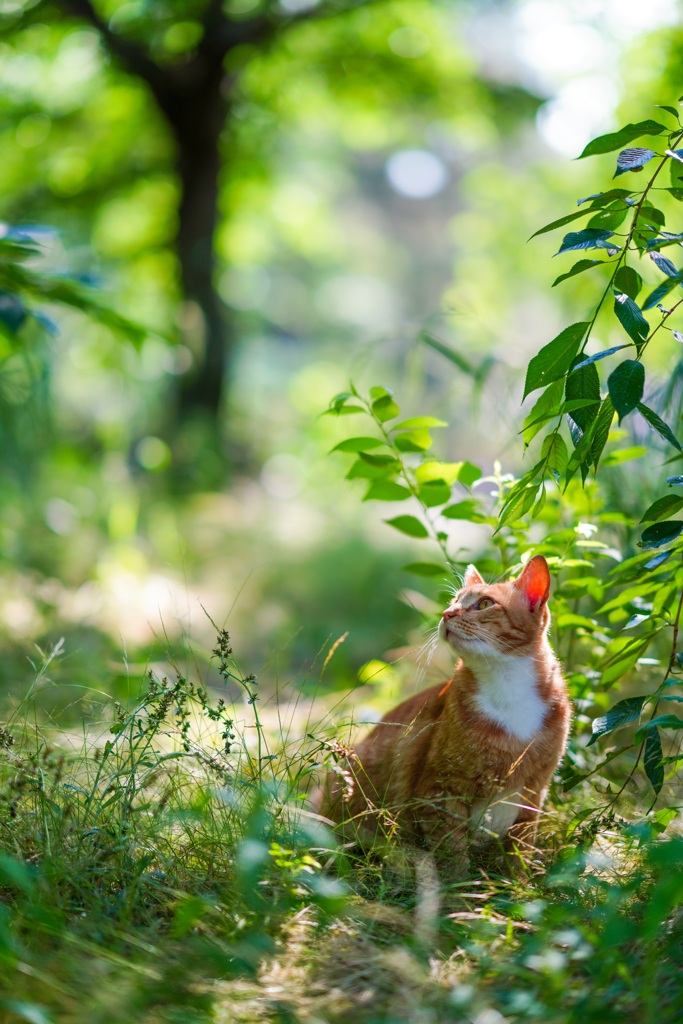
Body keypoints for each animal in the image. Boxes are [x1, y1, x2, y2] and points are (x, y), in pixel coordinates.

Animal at [317, 552, 573, 872]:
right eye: (454, 602)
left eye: (485, 604)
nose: (446, 614)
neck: (508, 688)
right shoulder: (439, 791)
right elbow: (453, 855)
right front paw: (462, 886)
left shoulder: (532, 794)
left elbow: (518, 855)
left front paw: (519, 883)